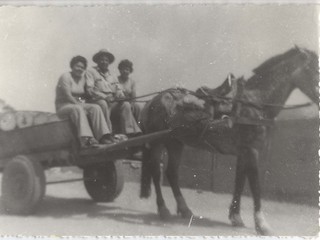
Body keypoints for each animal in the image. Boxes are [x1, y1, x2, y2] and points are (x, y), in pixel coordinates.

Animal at [139, 46, 318, 235]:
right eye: (314, 69)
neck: (255, 104)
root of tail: (151, 102)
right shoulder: (251, 151)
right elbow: (255, 185)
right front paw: (262, 224)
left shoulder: (243, 152)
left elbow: (239, 182)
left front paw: (236, 217)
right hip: (158, 142)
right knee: (156, 172)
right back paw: (163, 209)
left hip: (175, 142)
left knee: (171, 173)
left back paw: (185, 210)